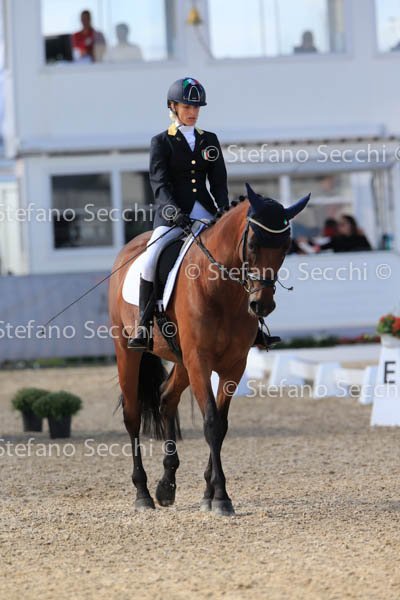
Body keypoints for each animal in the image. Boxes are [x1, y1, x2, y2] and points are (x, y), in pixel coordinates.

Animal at [108, 183, 310, 516]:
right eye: (252, 244)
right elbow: (212, 422)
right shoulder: (200, 361)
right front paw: (221, 497)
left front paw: (210, 493)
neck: (220, 287)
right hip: (128, 350)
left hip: (181, 360)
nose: (262, 305)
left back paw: (166, 487)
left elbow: (222, 425)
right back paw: (143, 494)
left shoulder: (233, 364)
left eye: (286, 247)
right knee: (132, 415)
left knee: (166, 398)